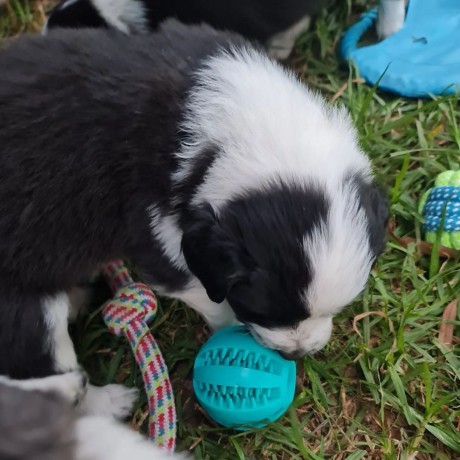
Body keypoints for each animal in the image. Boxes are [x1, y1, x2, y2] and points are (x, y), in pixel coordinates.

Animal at [0, 19, 388, 398]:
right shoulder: (159, 237)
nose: (295, 353)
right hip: (30, 314)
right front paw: (229, 325)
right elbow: (203, 292)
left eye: (340, 308)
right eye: (261, 310)